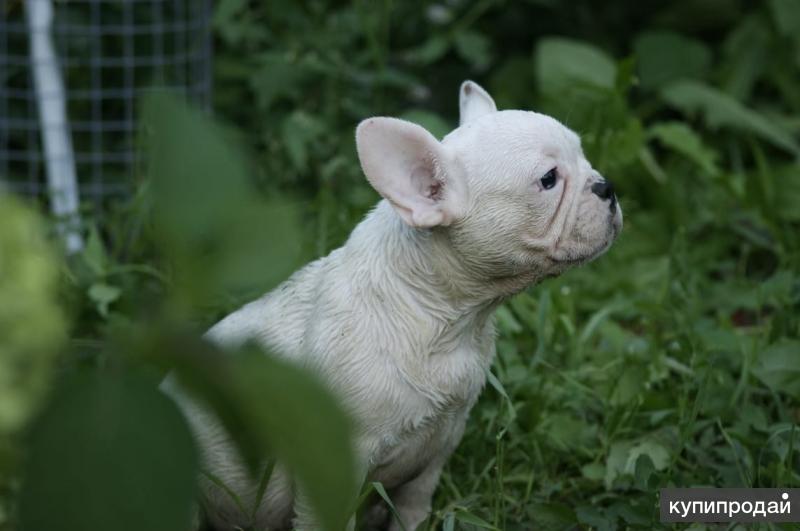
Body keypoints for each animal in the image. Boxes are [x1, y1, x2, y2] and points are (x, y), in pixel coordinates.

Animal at [166, 80, 620, 531]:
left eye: (584, 156)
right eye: (548, 179)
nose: (607, 187)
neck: (444, 318)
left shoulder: (439, 446)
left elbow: (414, 507)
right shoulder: (335, 467)